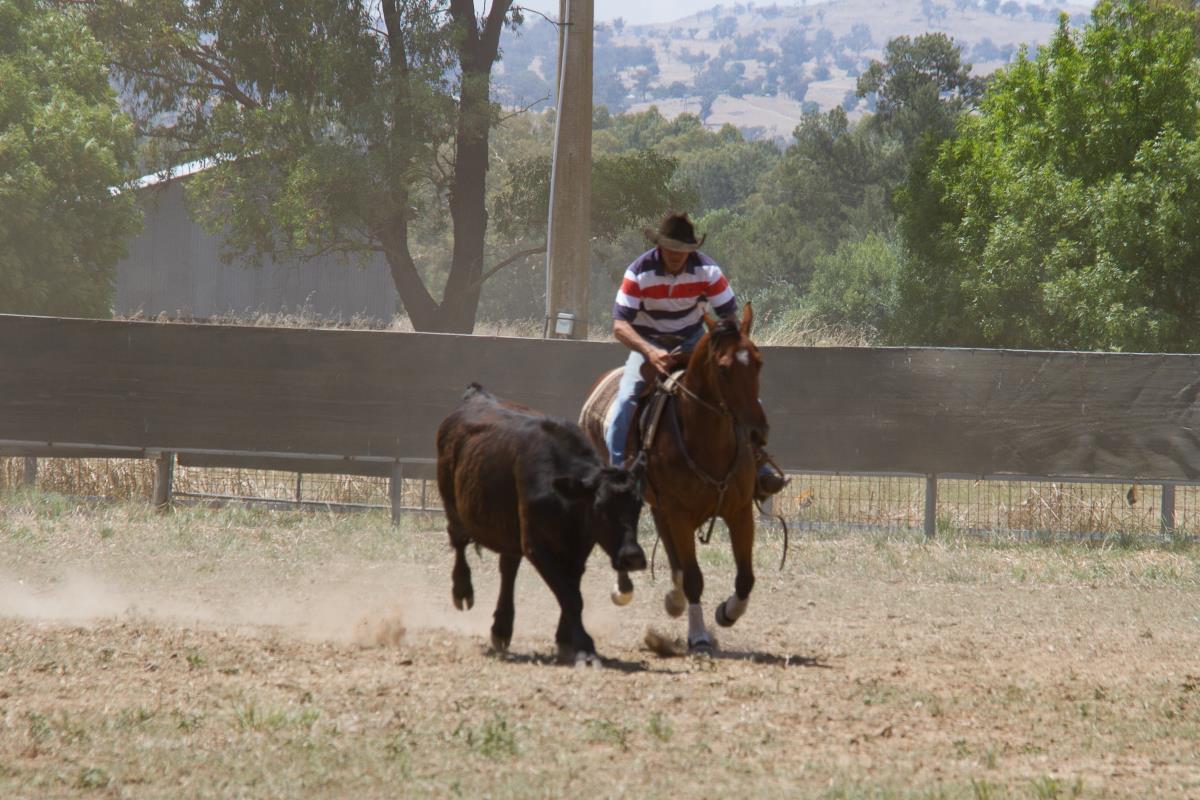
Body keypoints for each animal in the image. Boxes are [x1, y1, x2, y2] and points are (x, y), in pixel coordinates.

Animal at [580, 303, 767, 653]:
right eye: (723, 369)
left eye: (758, 362)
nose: (756, 432)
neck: (707, 442)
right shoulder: (680, 513)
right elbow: (694, 577)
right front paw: (699, 636)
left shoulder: (739, 511)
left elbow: (745, 577)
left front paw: (727, 612)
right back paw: (624, 589)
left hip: (660, 505)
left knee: (672, 554)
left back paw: (675, 600)